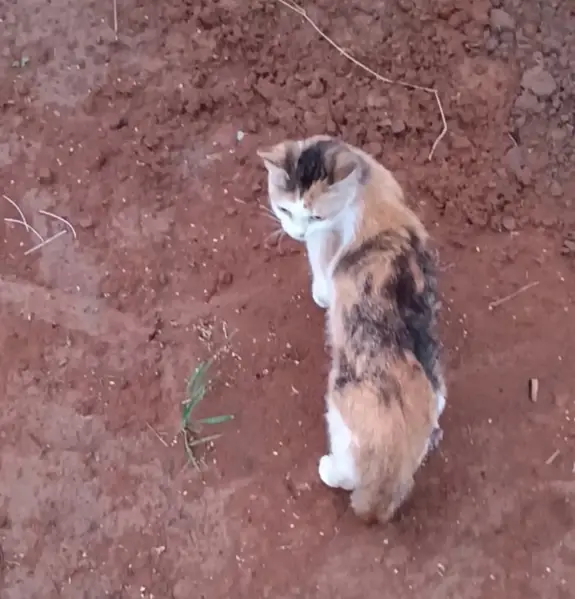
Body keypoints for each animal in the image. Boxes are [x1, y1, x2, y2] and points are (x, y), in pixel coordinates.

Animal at [258, 135, 446, 524]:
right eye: (284, 209)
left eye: (314, 216)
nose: (296, 233)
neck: (363, 183)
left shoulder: (322, 238)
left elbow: (320, 270)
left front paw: (320, 295)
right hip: (437, 389)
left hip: (340, 415)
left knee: (347, 472)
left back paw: (330, 471)